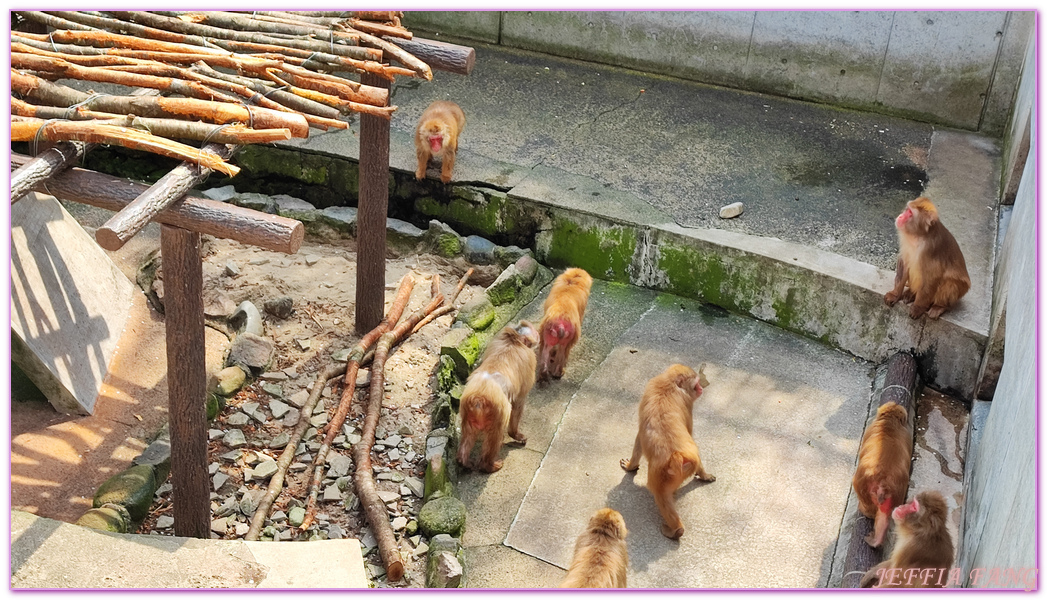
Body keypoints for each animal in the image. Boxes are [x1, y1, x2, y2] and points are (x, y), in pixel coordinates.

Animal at [458, 320, 540, 471]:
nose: (538, 333)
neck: (514, 339)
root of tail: (478, 398)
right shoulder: (529, 359)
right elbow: (518, 402)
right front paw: (516, 435)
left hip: (467, 410)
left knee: (468, 433)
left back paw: (464, 461)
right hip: (497, 411)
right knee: (496, 433)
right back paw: (489, 465)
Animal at [615, 362, 716, 540]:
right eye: (696, 383)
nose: (700, 389)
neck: (669, 384)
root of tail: (678, 456)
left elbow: (640, 439)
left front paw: (630, 466)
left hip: (661, 474)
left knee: (661, 496)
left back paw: (676, 529)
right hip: (676, 468)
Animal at [854, 402, 912, 548]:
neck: (890, 422)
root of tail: (883, 482)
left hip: (862, 484)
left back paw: (865, 511)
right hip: (896, 494)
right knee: (885, 516)